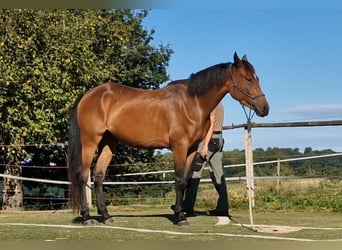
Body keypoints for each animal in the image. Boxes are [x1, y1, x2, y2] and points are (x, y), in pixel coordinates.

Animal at [67, 51, 270, 226]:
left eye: (257, 78)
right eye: (248, 78)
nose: (264, 108)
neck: (192, 103)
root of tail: (88, 95)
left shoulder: (191, 149)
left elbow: (185, 180)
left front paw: (179, 212)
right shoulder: (179, 146)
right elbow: (179, 179)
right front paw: (180, 217)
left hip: (110, 142)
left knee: (98, 175)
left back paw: (106, 216)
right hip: (90, 142)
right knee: (83, 176)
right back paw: (87, 218)